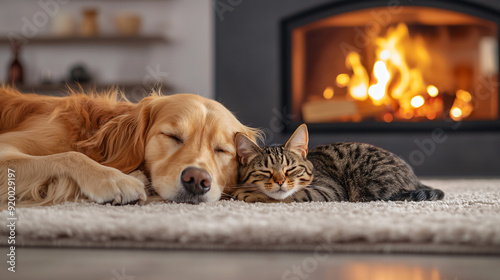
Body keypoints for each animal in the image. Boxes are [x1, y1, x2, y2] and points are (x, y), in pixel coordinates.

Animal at [232, 124, 444, 203]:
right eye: (265, 171)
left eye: (291, 169)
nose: (280, 181)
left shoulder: (330, 190)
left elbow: (293, 195)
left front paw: (249, 193)